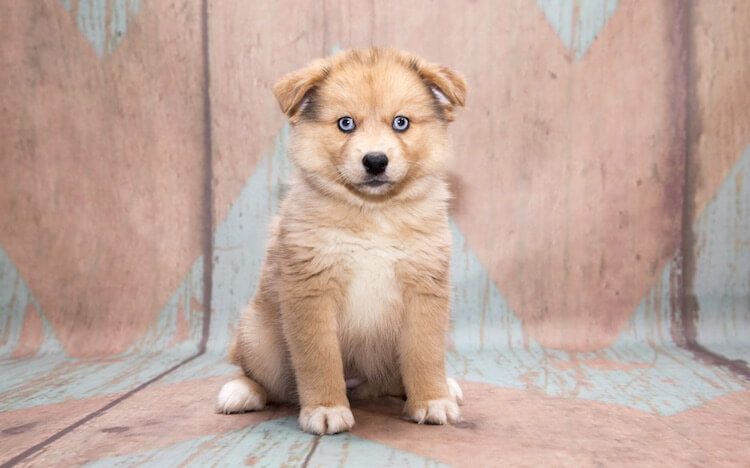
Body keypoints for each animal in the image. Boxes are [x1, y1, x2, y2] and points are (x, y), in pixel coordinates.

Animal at [214, 47, 468, 436]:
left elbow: (425, 354)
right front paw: (326, 408)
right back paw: (241, 392)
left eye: (401, 123)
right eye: (346, 124)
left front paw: (431, 399)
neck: (373, 214)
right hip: (259, 338)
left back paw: (443, 387)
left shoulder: (424, 291)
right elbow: (320, 359)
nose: (376, 161)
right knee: (264, 379)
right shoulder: (311, 293)